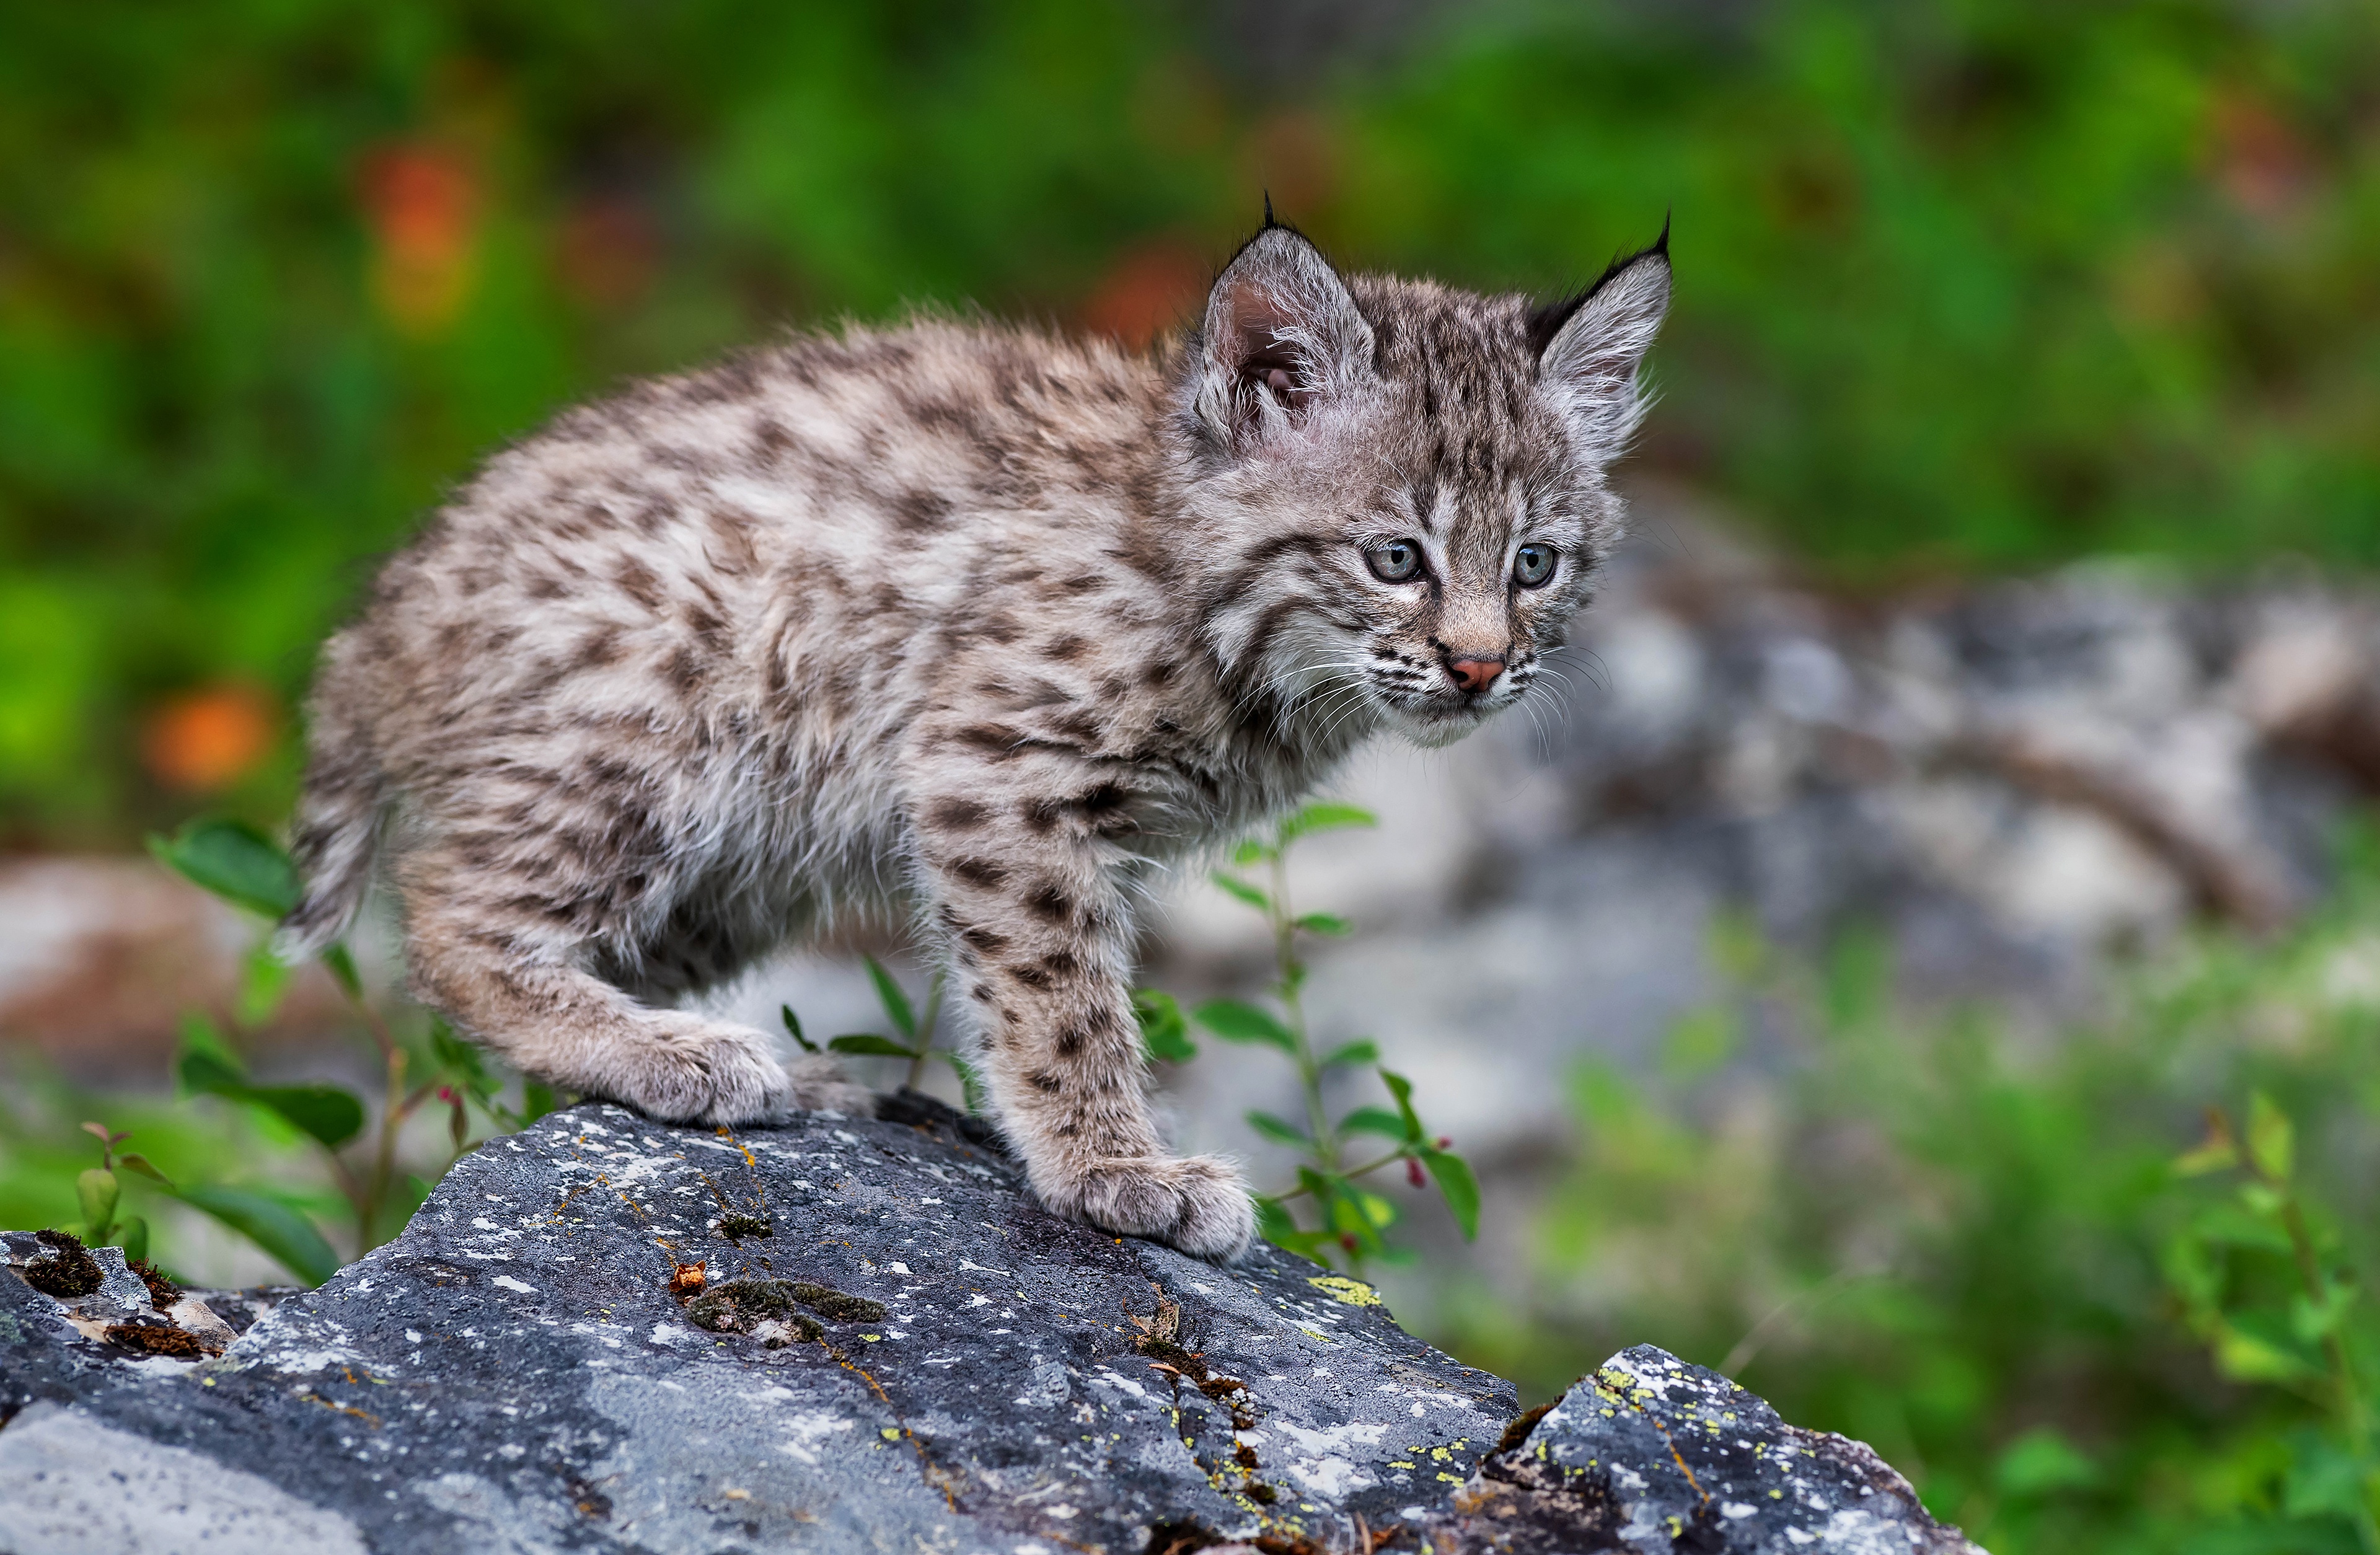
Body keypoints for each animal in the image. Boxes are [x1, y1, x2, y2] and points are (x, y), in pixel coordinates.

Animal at [283, 218, 1675, 1257]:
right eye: (1396, 559)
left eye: (1537, 564)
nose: (1480, 668)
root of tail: (388, 607)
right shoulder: (999, 768)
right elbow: (1058, 995)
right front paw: (1118, 1168)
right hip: (673, 707)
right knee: (447, 913)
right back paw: (675, 1052)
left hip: (755, 857)